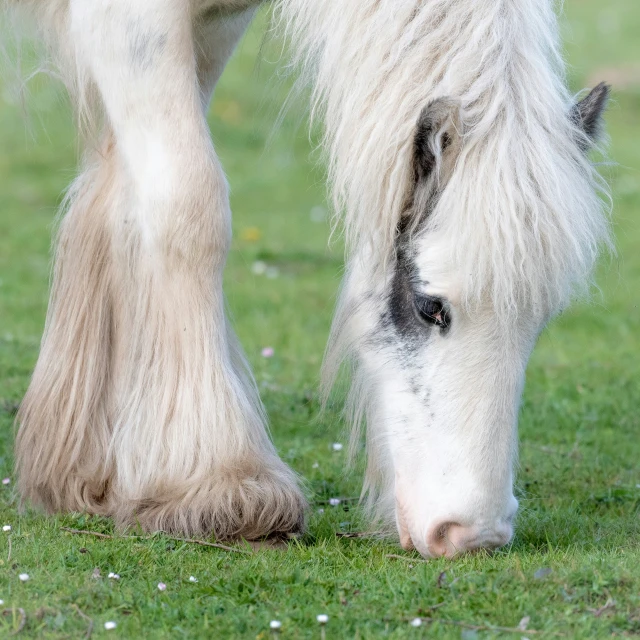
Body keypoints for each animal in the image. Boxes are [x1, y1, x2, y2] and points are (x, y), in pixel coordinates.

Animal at [10, 0, 608, 560]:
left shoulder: (209, 24)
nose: (470, 533)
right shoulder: (128, 22)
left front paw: (86, 472)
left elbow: (120, 201)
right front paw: (217, 483)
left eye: (540, 322)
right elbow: (189, 206)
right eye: (429, 306)